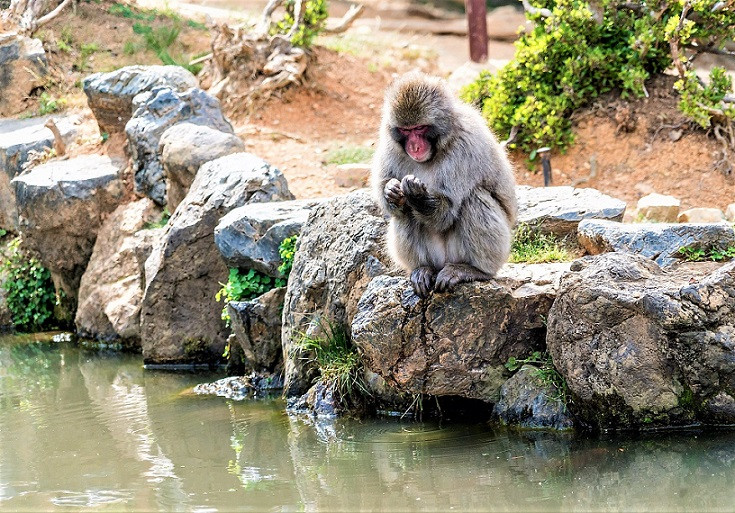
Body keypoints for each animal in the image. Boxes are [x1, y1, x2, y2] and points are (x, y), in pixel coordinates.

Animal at [374, 71, 516, 296]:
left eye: (420, 128)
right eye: (406, 131)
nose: (414, 147)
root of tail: (443, 262)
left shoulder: (466, 146)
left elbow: (446, 212)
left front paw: (417, 195)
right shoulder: (390, 143)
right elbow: (389, 196)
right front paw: (391, 190)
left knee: (474, 198)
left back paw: (474, 270)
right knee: (403, 213)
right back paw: (423, 269)